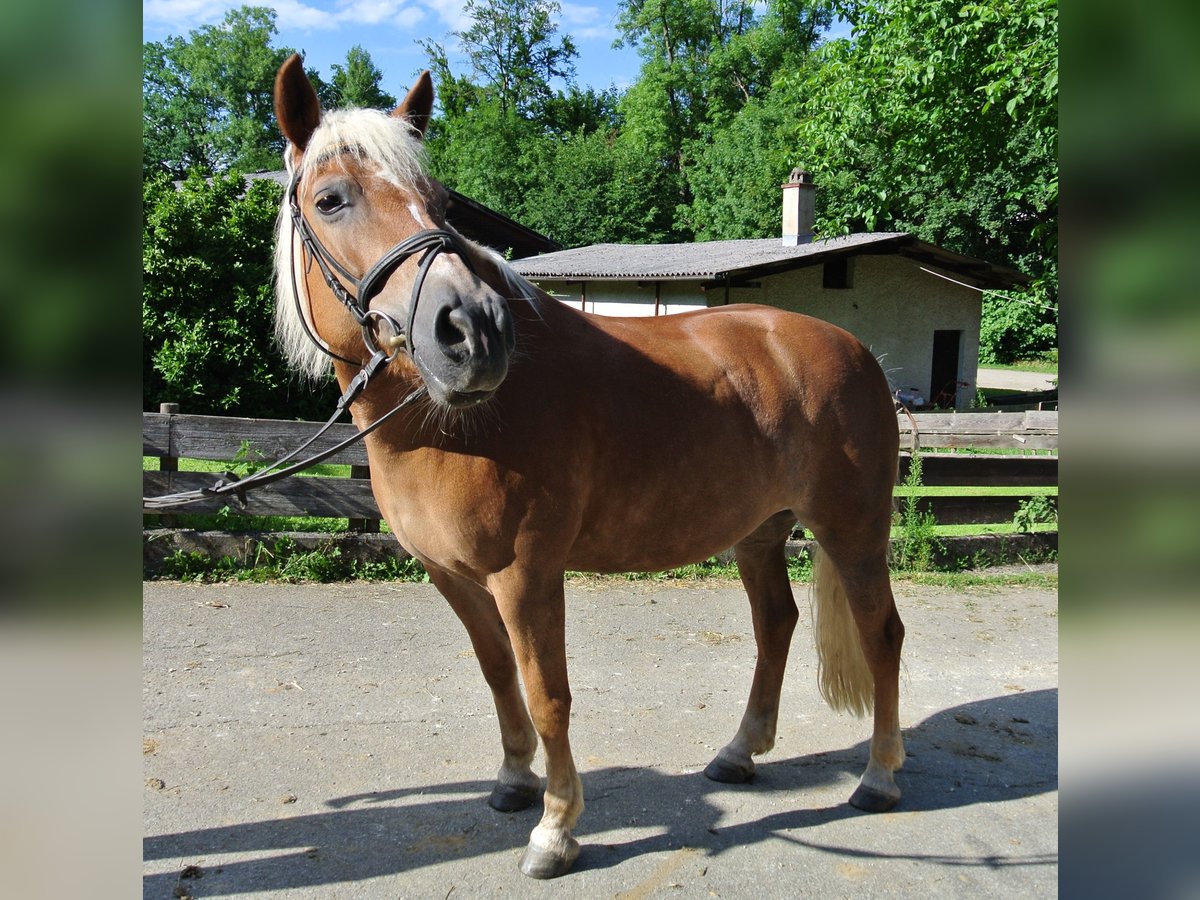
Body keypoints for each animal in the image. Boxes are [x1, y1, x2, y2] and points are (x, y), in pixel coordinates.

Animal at [272, 54, 902, 883]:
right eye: (330, 199)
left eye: (438, 202)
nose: (471, 331)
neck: (450, 427)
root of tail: (854, 349)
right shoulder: (453, 576)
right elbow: (498, 674)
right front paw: (514, 781)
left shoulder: (526, 574)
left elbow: (549, 694)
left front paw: (556, 830)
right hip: (760, 534)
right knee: (777, 624)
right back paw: (739, 753)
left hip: (852, 531)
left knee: (881, 634)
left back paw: (880, 777)